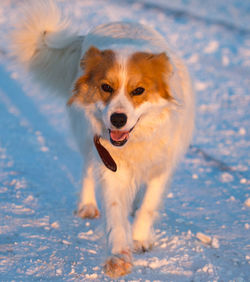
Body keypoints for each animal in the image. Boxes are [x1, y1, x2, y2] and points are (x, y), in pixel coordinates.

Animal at [10, 0, 195, 278]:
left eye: (138, 91)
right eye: (106, 87)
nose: (117, 119)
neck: (136, 140)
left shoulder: (161, 165)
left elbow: (148, 205)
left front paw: (140, 237)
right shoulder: (111, 165)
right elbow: (115, 211)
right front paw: (119, 256)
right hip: (87, 139)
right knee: (87, 169)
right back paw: (87, 206)